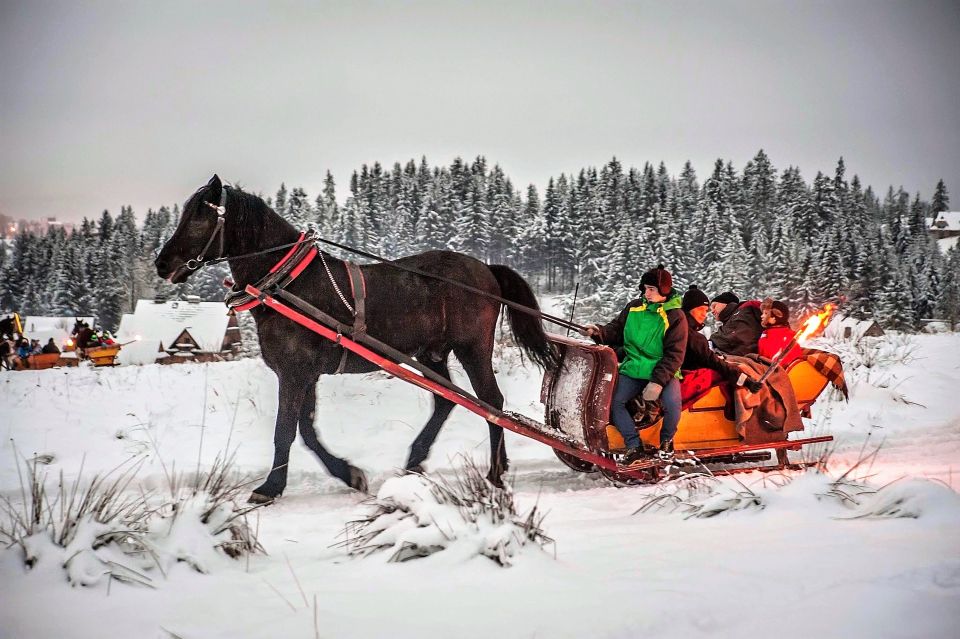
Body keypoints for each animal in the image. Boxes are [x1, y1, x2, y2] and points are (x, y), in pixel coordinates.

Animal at [155, 176, 560, 504]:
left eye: (199, 217)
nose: (161, 264)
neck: (288, 282)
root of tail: (486, 269)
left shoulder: (294, 372)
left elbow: (285, 431)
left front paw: (270, 488)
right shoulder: (305, 373)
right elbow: (306, 430)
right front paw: (349, 474)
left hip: (472, 348)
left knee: (492, 403)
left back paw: (495, 472)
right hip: (431, 355)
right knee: (447, 402)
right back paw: (417, 460)